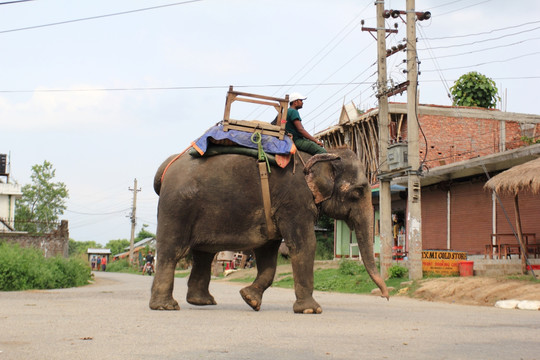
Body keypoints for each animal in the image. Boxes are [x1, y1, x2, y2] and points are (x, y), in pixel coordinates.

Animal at [150, 148, 390, 314]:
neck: (325, 153)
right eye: (358, 191)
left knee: (203, 255)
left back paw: (203, 302)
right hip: (177, 207)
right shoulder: (294, 200)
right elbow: (304, 244)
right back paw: (166, 306)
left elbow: (268, 254)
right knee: (172, 252)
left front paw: (250, 299)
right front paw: (311, 310)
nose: (385, 296)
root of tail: (167, 166)